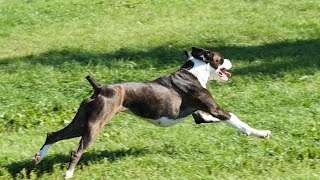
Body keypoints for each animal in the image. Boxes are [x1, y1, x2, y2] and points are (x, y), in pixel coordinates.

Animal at [31, 46, 270, 179]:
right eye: (220, 58)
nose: (230, 60)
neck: (193, 72)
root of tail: (99, 88)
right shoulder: (215, 109)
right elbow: (237, 121)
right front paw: (261, 133)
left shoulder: (201, 115)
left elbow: (209, 119)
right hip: (93, 126)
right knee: (76, 150)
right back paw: (68, 174)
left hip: (81, 122)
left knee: (53, 135)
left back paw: (38, 158)